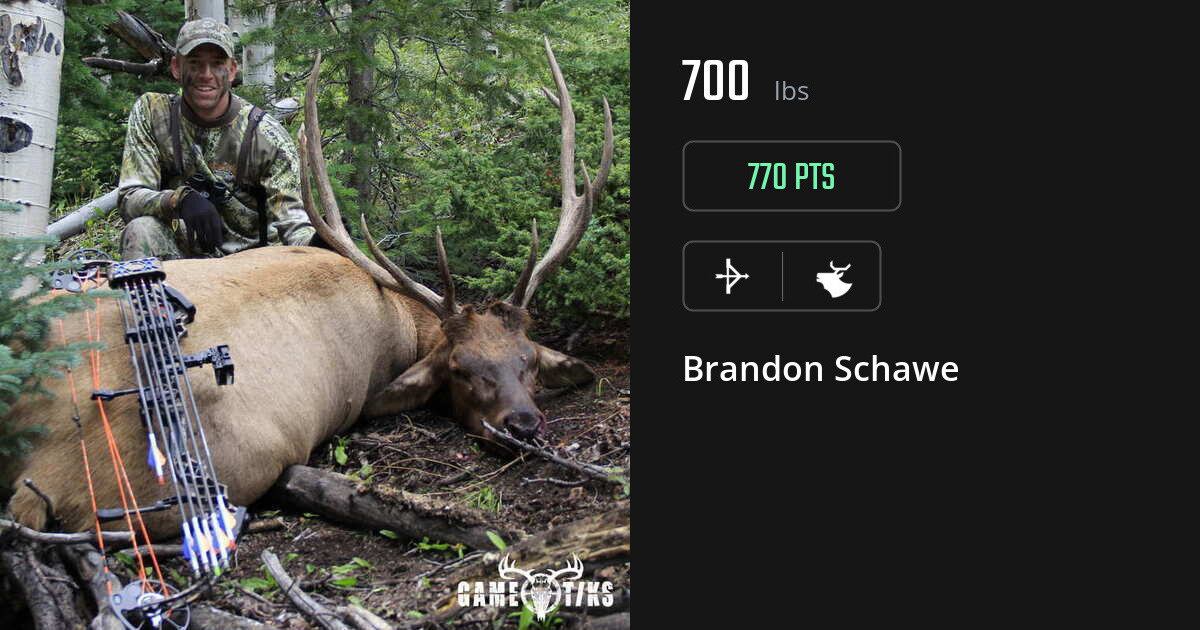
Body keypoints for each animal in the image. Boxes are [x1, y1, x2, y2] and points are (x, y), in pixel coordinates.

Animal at [1, 38, 614, 542]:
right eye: (460, 369)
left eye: (527, 358)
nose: (523, 424)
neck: (400, 318)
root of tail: (39, 463)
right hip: (223, 469)